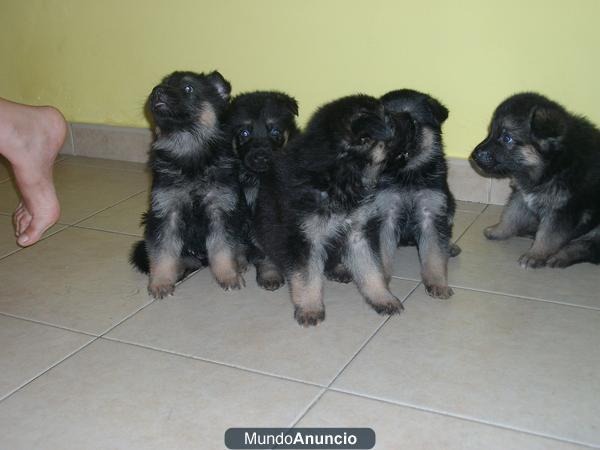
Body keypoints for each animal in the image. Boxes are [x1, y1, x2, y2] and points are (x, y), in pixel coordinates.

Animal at [131, 71, 246, 298]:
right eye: (163, 84)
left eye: (187, 88)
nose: (156, 91)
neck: (188, 147)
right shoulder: (167, 212)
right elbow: (163, 252)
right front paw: (161, 282)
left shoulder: (220, 211)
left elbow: (223, 249)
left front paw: (228, 275)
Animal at [225, 90, 300, 292]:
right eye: (244, 132)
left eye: (275, 131)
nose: (261, 157)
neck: (260, 178)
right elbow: (262, 248)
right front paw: (270, 273)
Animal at [254, 95, 404, 326]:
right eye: (389, 123)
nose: (407, 123)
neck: (338, 176)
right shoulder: (305, 239)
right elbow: (307, 277)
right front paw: (309, 307)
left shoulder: (358, 233)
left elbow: (371, 268)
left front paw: (383, 297)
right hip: (259, 225)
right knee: (265, 253)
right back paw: (270, 272)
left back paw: (339, 268)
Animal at [380, 89, 460, 298]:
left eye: (412, 123)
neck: (407, 174)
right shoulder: (386, 215)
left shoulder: (431, 214)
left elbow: (434, 254)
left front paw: (438, 283)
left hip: (450, 204)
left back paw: (451, 246)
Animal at [472, 91, 600, 268]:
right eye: (491, 132)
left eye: (507, 138)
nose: (474, 155)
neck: (553, 164)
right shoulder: (521, 195)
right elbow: (510, 215)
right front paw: (498, 231)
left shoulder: (562, 211)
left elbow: (548, 236)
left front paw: (535, 254)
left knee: (587, 247)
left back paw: (561, 256)